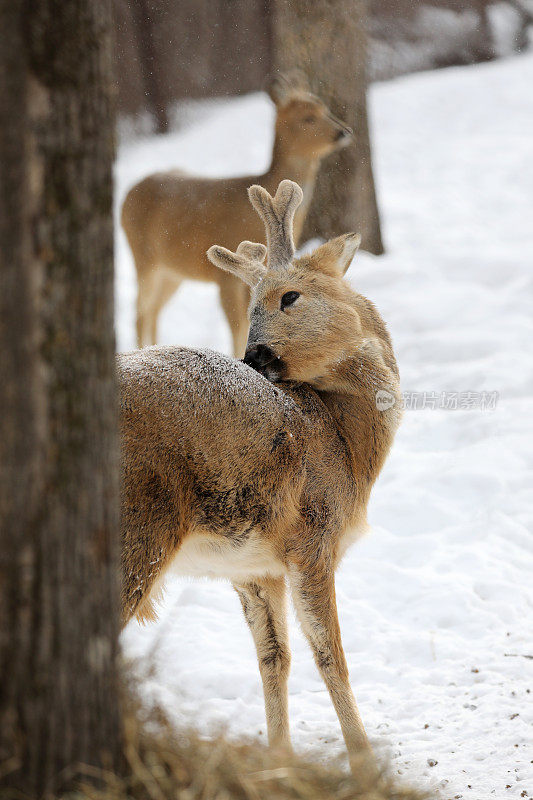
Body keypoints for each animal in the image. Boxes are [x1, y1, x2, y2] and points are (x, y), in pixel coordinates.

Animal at [118, 178, 402, 772]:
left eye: (289, 296)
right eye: (251, 304)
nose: (254, 355)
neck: (346, 443)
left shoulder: (253, 566)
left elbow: (275, 655)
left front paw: (279, 759)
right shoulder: (312, 538)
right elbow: (330, 655)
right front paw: (364, 762)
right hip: (139, 529)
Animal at [121, 76, 354, 358]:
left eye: (326, 110)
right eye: (308, 117)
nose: (343, 132)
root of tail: (127, 194)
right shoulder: (226, 275)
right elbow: (238, 323)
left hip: (171, 270)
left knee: (154, 309)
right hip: (143, 256)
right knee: (140, 311)